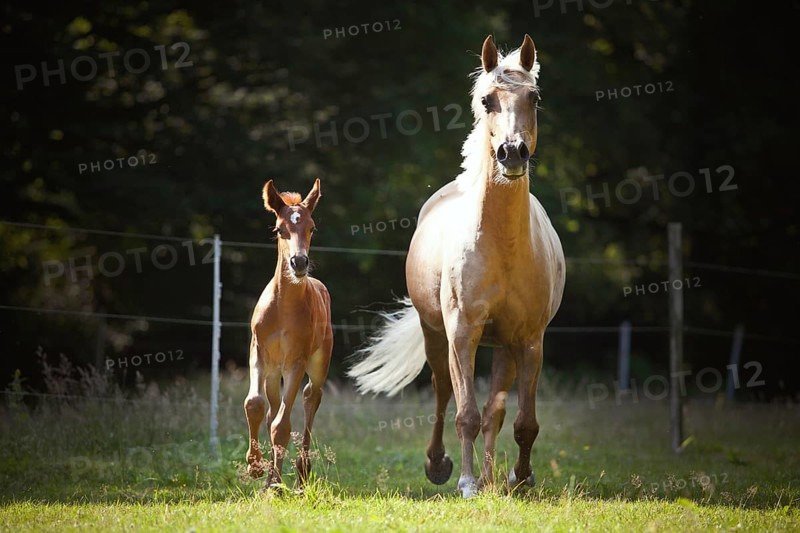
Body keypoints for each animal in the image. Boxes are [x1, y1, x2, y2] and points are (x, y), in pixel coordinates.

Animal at [243, 178, 333, 489]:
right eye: (279, 229)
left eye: (312, 227)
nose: (299, 262)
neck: (283, 309)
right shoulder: (258, 353)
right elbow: (255, 405)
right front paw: (256, 468)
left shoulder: (297, 360)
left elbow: (281, 426)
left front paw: (275, 484)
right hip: (273, 372)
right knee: (272, 408)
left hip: (318, 362)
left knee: (310, 397)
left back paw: (301, 471)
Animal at [348, 34, 565, 498]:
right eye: (486, 100)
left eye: (534, 98)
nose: (512, 153)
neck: (503, 245)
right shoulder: (462, 333)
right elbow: (465, 412)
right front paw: (464, 481)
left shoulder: (530, 340)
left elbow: (523, 422)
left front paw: (519, 478)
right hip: (436, 335)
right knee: (443, 391)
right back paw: (441, 465)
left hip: (504, 347)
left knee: (495, 412)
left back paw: (490, 478)